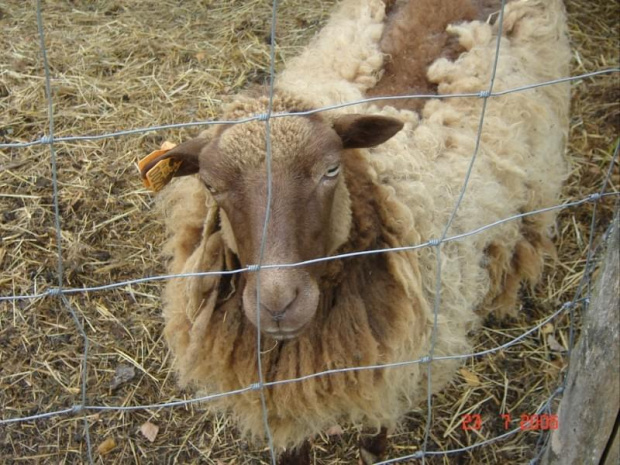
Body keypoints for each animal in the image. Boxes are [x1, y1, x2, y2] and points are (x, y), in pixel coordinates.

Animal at [142, 0, 572, 460]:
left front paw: (373, 447)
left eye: (331, 169)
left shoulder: (402, 361)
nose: (278, 304)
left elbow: (381, 426)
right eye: (211, 186)